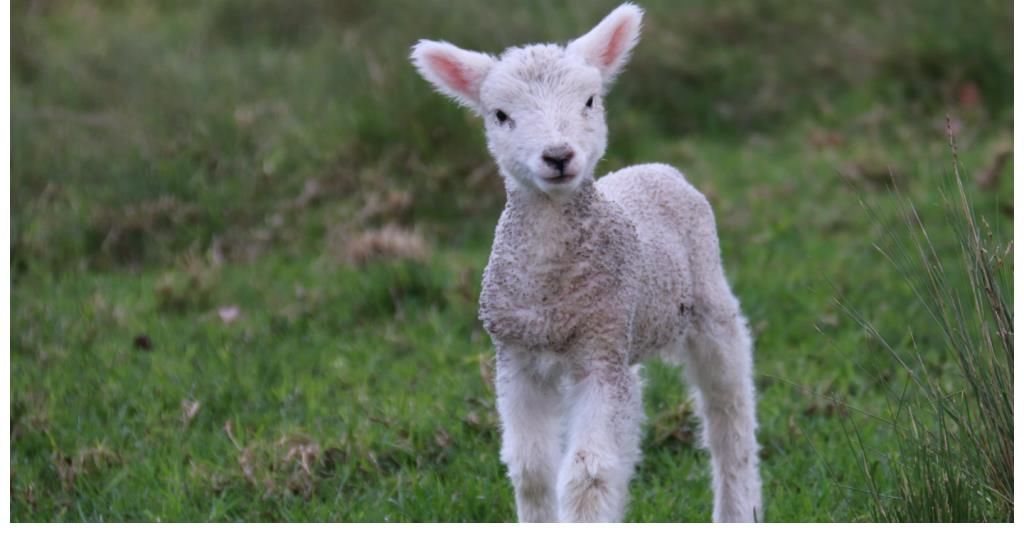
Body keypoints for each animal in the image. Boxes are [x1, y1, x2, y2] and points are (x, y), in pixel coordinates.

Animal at [409, 2, 761, 522]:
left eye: (591, 100)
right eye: (500, 115)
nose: (558, 155)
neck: (550, 289)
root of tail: (656, 168)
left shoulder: (599, 355)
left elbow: (588, 474)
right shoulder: (517, 358)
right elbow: (531, 469)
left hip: (707, 301)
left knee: (729, 411)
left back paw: (739, 509)